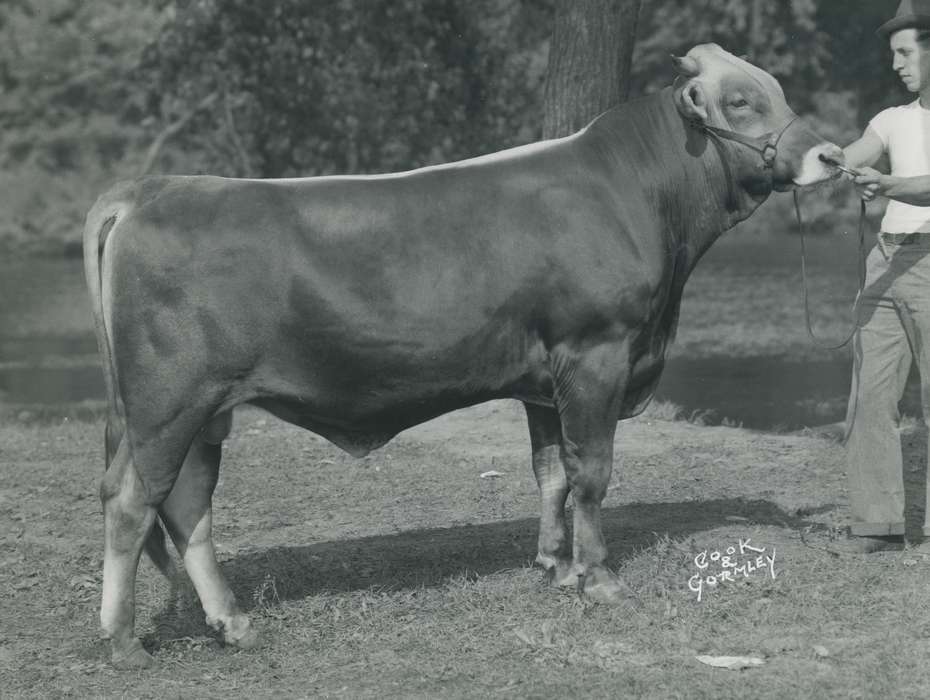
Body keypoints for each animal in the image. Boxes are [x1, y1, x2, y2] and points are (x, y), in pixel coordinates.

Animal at [83, 44, 844, 668]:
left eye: (777, 90)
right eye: (740, 101)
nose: (831, 156)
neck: (639, 196)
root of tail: (151, 189)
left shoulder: (544, 379)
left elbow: (551, 473)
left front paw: (556, 567)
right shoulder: (595, 354)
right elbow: (591, 472)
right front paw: (598, 579)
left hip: (202, 411)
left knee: (187, 506)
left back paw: (232, 623)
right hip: (168, 403)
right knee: (132, 502)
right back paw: (121, 643)